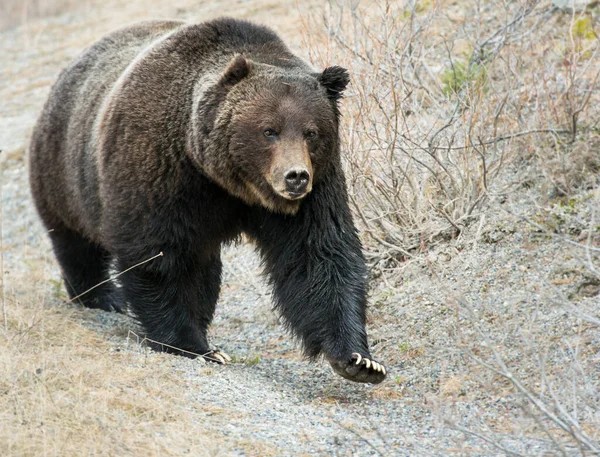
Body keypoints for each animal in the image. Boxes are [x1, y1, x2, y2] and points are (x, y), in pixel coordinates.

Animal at [28, 16, 386, 382]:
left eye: (311, 132)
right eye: (269, 130)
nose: (296, 176)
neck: (228, 181)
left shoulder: (317, 188)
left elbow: (319, 254)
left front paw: (360, 360)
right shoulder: (160, 171)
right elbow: (158, 257)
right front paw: (194, 346)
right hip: (66, 171)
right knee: (76, 242)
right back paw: (100, 296)